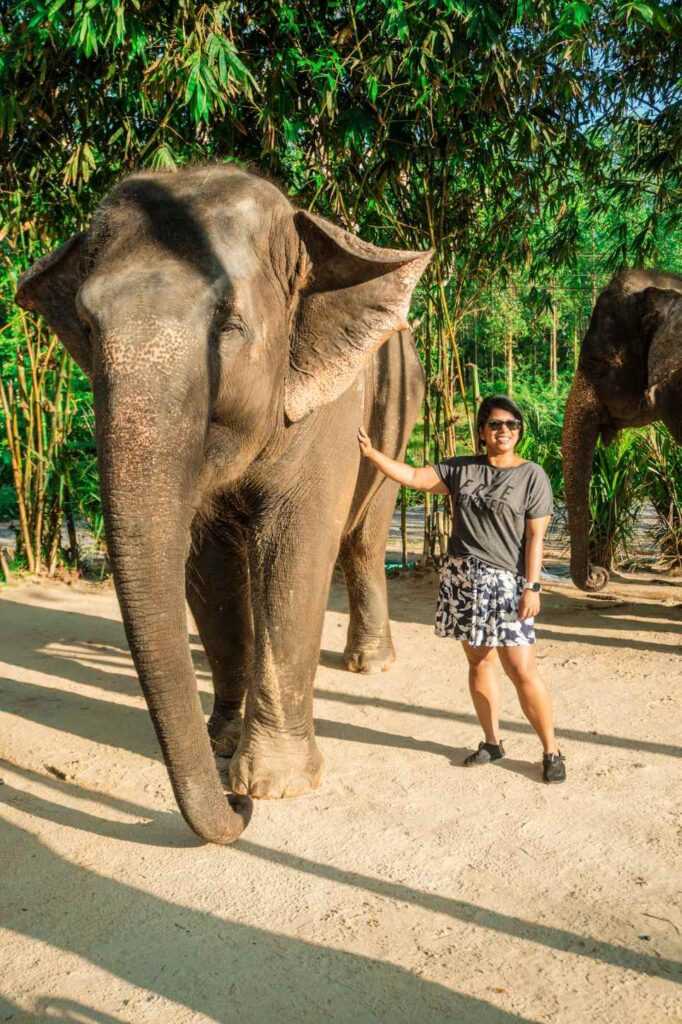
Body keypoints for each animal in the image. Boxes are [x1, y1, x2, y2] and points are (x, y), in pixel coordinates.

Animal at [15, 163, 428, 843]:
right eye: (88, 327)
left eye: (229, 328)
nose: (237, 811)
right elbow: (206, 567)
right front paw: (222, 747)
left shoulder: (325, 409)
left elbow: (294, 550)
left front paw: (272, 786)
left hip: (403, 407)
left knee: (364, 535)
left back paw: (369, 666)